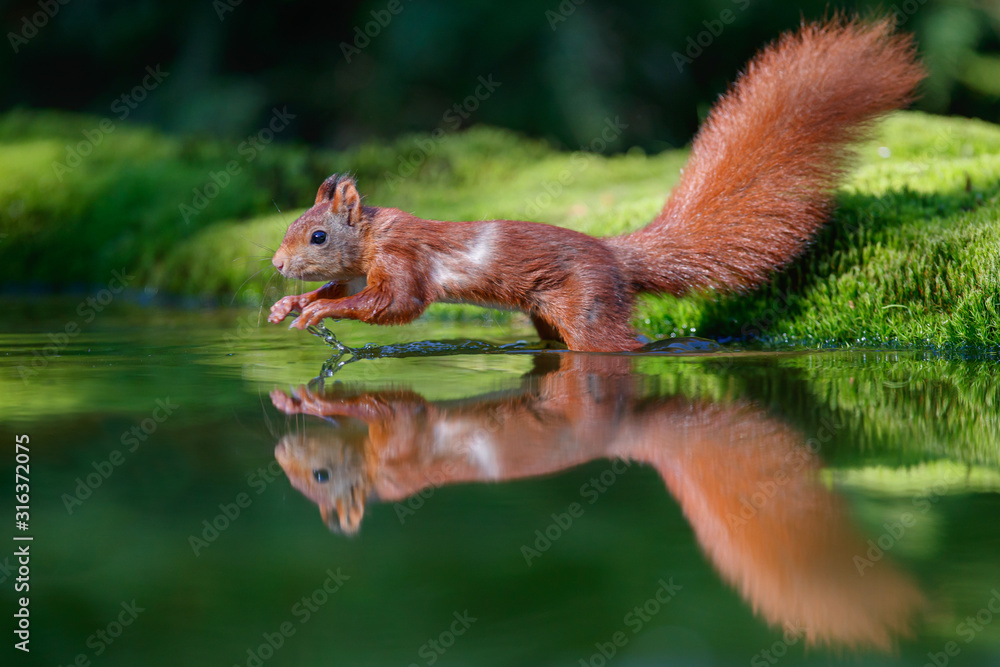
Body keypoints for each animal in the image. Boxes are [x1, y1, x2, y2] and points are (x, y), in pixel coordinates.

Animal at [268, 17, 925, 352]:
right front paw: (291, 305)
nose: (275, 265)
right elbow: (345, 290)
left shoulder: (404, 259)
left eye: (318, 236)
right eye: (294, 225)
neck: (373, 237)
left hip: (589, 305)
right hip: (546, 313)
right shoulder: (366, 267)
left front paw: (318, 313)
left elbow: (396, 305)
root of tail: (614, 254)